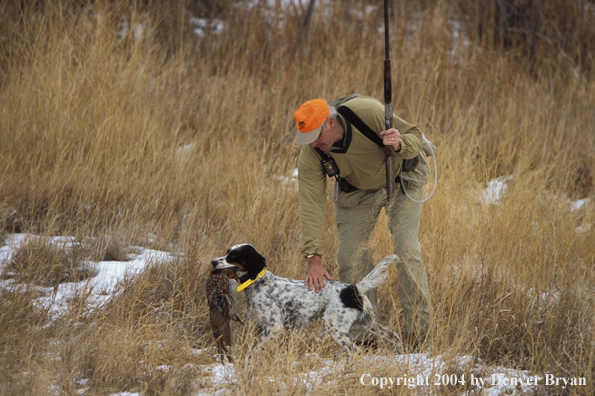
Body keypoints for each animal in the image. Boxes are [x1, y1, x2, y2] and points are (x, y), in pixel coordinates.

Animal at [212, 243, 402, 354]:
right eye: (227, 252)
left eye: (233, 257)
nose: (213, 262)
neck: (259, 282)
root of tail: (353, 288)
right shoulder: (262, 327)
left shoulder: (274, 327)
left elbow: (254, 352)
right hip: (368, 323)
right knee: (394, 336)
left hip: (335, 326)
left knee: (356, 350)